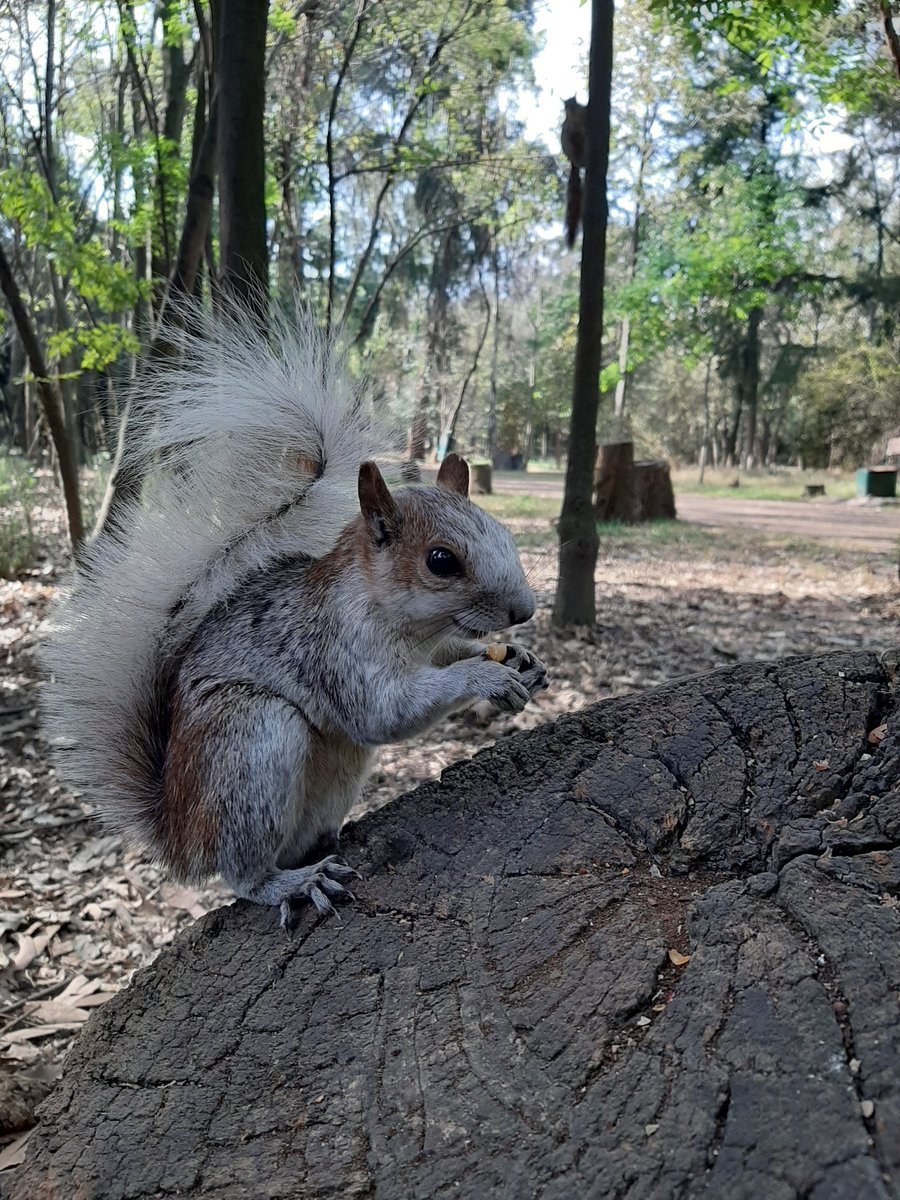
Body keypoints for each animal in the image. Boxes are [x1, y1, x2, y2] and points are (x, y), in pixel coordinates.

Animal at [43, 304, 548, 928]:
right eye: (440, 561)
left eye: (505, 532)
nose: (525, 610)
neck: (409, 630)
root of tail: (181, 836)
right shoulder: (335, 648)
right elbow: (384, 711)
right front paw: (485, 676)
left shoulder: (432, 643)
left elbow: (454, 653)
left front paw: (520, 660)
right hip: (250, 739)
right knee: (241, 873)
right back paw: (291, 882)